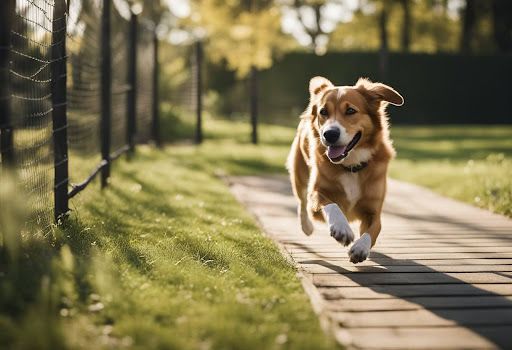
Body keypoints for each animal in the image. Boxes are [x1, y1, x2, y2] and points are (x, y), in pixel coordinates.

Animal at [286, 76, 402, 262]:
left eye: (350, 111)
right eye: (323, 112)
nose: (329, 134)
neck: (351, 166)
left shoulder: (373, 210)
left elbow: (373, 230)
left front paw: (361, 247)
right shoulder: (317, 195)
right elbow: (331, 204)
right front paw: (341, 229)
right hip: (300, 172)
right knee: (301, 202)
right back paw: (306, 226)